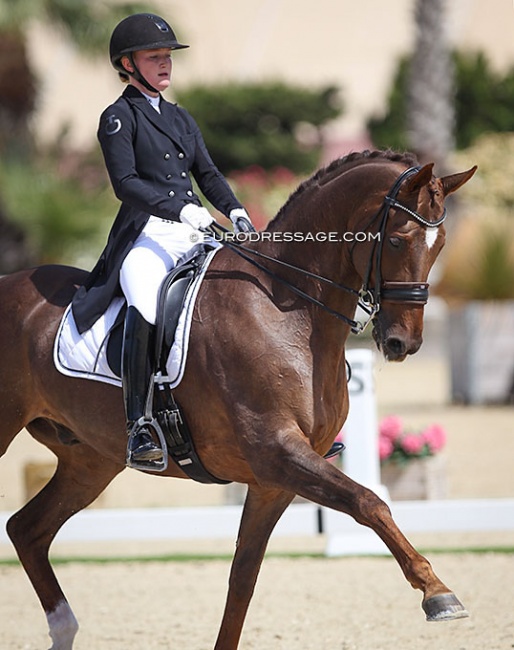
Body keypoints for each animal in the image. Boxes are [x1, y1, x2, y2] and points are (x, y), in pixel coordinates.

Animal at [0, 151, 474, 644]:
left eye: (439, 246)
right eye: (398, 241)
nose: (404, 343)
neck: (287, 308)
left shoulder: (273, 480)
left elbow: (243, 576)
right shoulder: (276, 452)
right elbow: (370, 502)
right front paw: (438, 593)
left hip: (91, 460)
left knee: (27, 529)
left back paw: (64, 629)